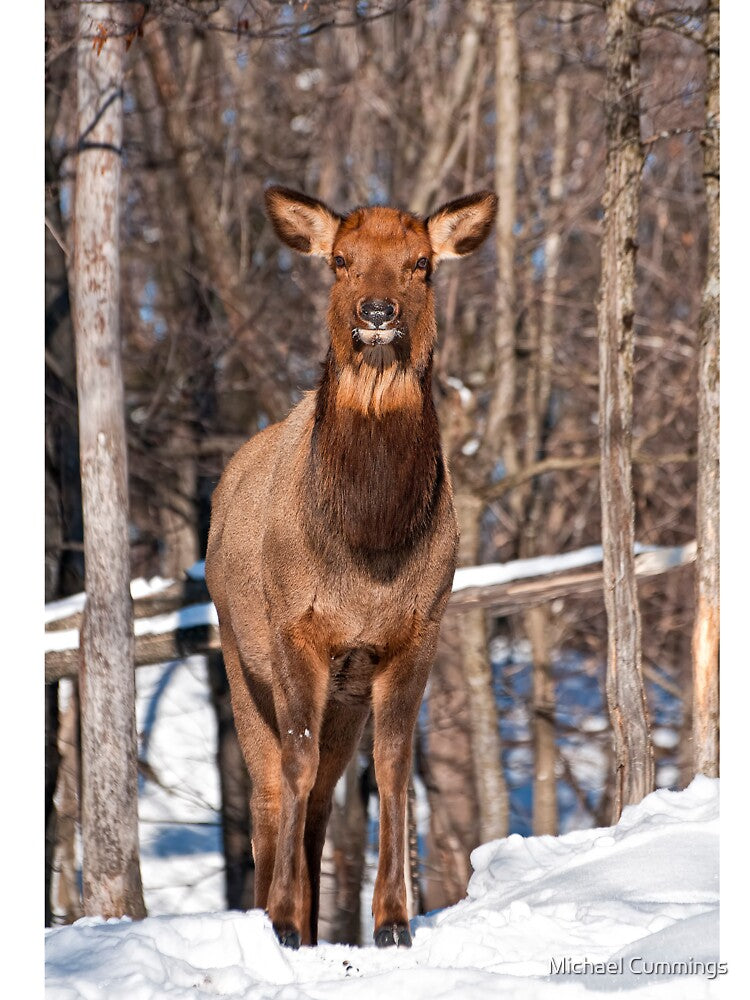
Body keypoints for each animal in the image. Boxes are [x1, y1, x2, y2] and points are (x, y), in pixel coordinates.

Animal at [205, 184, 497, 950]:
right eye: (340, 260)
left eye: (422, 263)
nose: (377, 312)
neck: (370, 549)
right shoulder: (294, 630)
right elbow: (295, 763)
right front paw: (281, 918)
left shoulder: (413, 634)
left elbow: (393, 770)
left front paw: (393, 919)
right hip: (239, 657)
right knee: (273, 789)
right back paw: (278, 916)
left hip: (344, 693)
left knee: (321, 800)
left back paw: (312, 923)